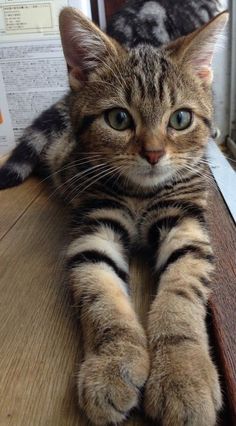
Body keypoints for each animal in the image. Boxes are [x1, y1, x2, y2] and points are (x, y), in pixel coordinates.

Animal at [0, 0, 229, 426]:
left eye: (180, 119)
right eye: (119, 119)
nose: (153, 153)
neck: (140, 193)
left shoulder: (187, 224)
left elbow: (181, 296)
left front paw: (183, 371)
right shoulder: (95, 225)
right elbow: (99, 294)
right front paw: (113, 361)